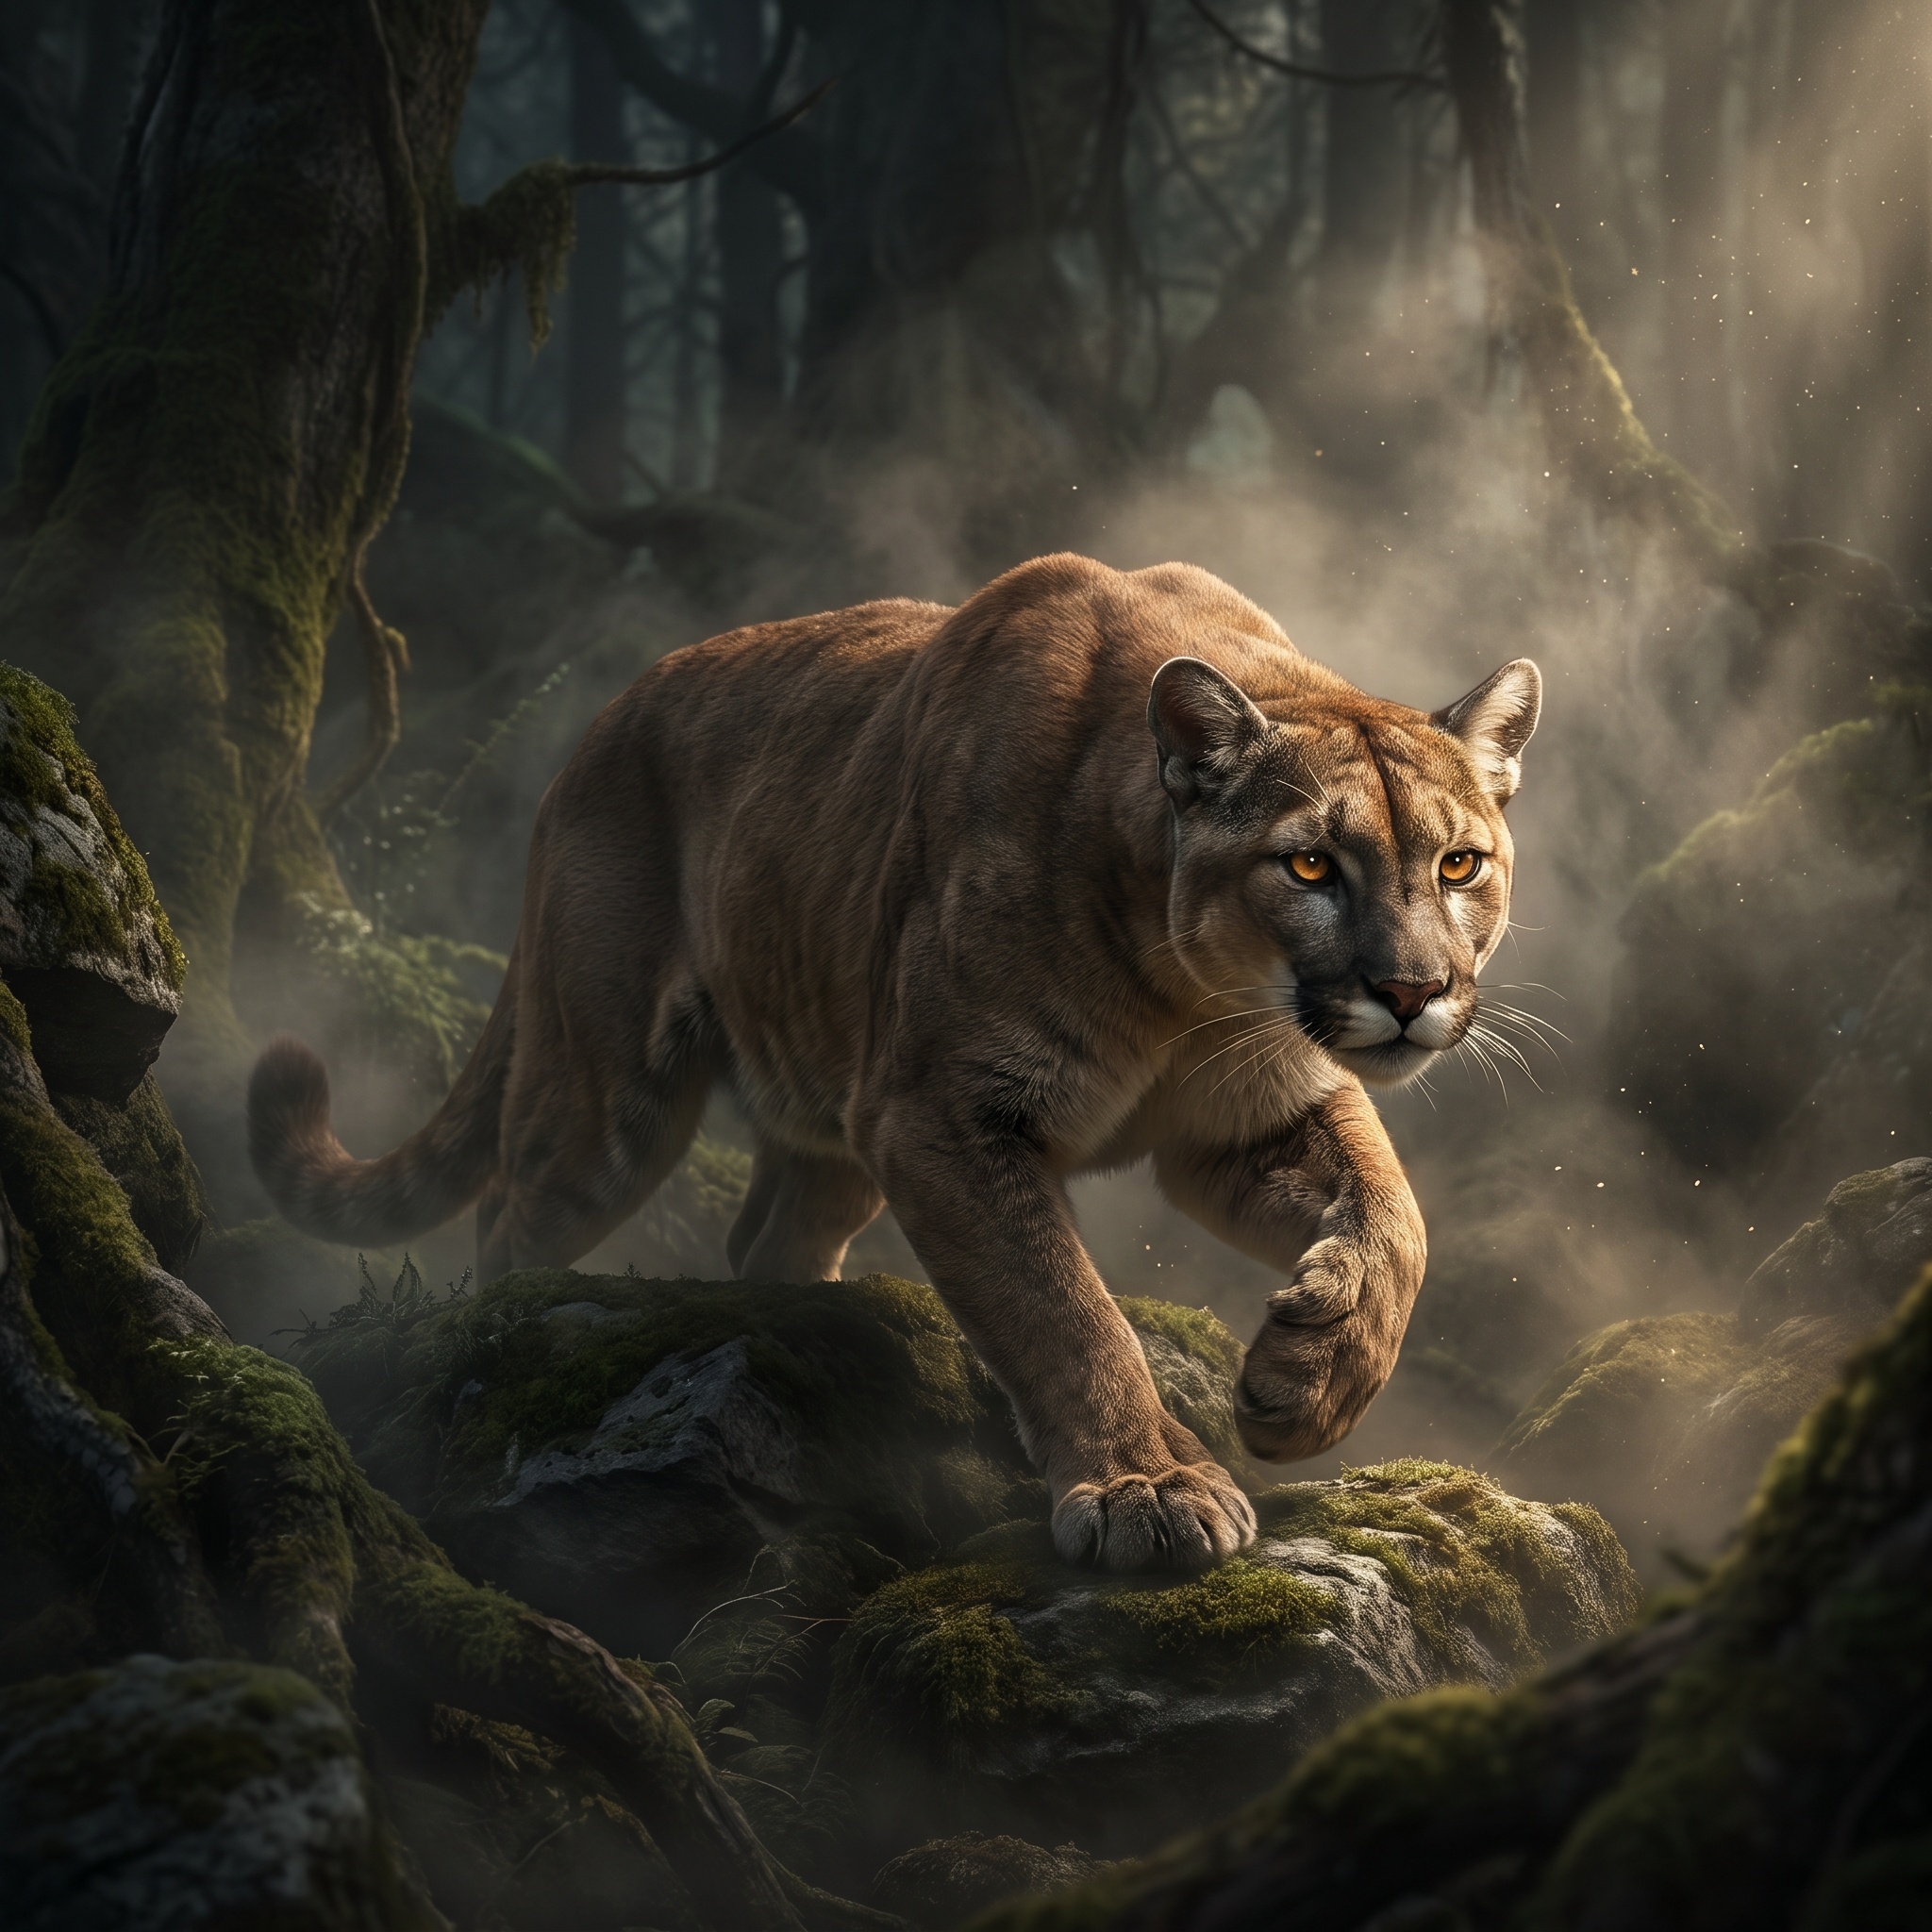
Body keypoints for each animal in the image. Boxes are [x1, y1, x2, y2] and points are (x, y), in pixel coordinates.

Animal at [251, 553, 1540, 1572]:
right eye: (1310, 864)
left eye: (1459, 863)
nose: (1411, 991)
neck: (1184, 992)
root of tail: (595, 728)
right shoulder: (942, 1112)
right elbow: (1059, 1305)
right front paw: (1147, 1488)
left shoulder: (1248, 1109)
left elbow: (1395, 1220)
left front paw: (1302, 1388)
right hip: (603, 1098)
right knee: (512, 1221)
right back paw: (494, 1359)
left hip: (825, 1109)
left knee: (765, 1233)